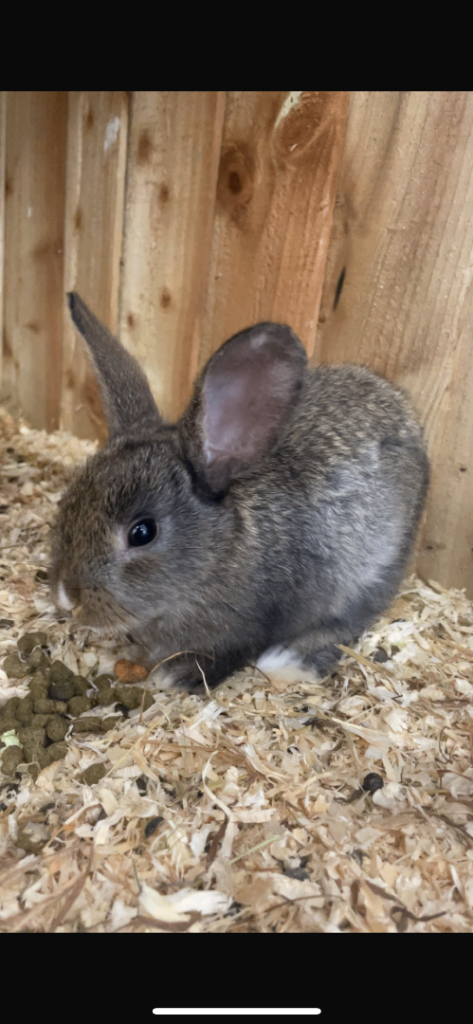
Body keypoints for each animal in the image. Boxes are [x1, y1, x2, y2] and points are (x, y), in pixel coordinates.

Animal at [50, 292, 429, 691]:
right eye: (67, 502)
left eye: (142, 533)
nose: (67, 597)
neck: (219, 554)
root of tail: (409, 423)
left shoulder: (249, 626)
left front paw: (172, 675)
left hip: (371, 572)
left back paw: (286, 661)